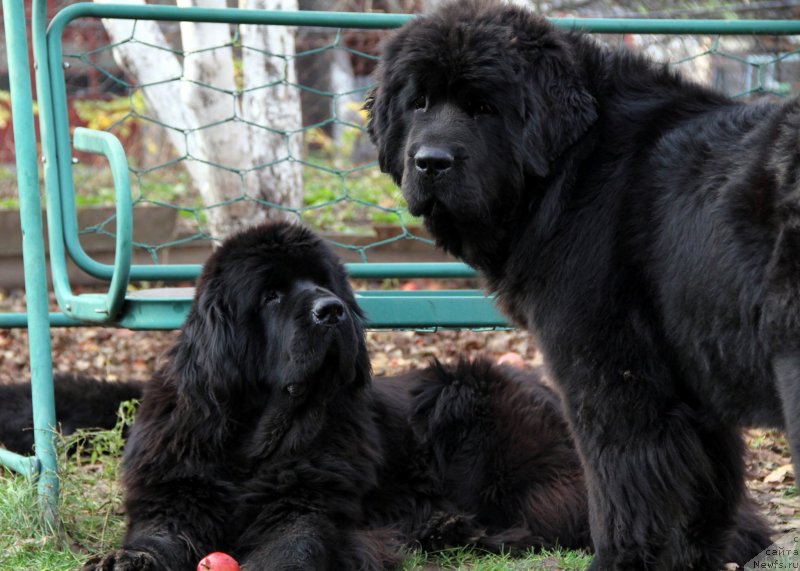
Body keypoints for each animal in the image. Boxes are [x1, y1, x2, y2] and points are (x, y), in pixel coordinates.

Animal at [86, 220, 588, 571]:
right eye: (271, 295)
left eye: (324, 284)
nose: (332, 310)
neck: (252, 438)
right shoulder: (176, 493)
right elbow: (159, 535)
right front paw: (128, 559)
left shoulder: (307, 503)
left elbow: (294, 545)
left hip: (462, 403)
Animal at [368, 2, 792, 568]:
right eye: (418, 103)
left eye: (483, 108)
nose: (430, 161)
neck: (575, 165)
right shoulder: (690, 389)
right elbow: (704, 498)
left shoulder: (610, 374)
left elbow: (624, 489)